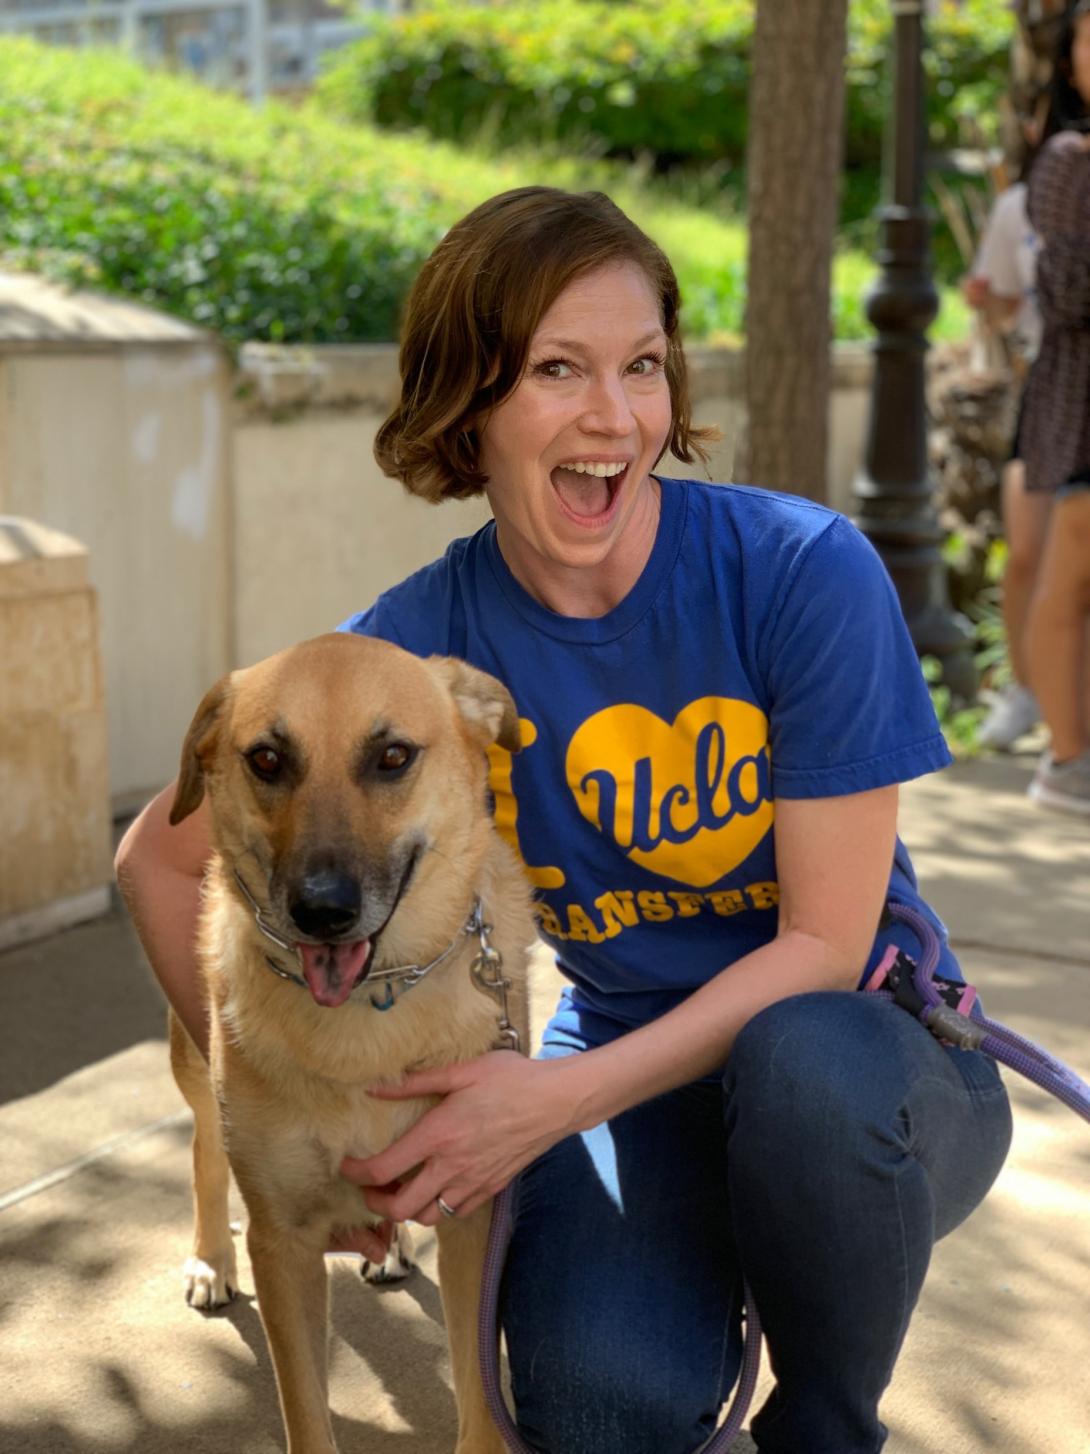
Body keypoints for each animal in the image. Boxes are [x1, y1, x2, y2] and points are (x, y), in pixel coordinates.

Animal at [165, 636, 534, 1454]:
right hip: (193, 1062)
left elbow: (479, 1398)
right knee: (204, 1147)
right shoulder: (282, 1245)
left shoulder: (473, 1216)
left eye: (393, 755)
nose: (322, 911)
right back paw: (209, 1258)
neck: (371, 1008)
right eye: (267, 759)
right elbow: (305, 1409)